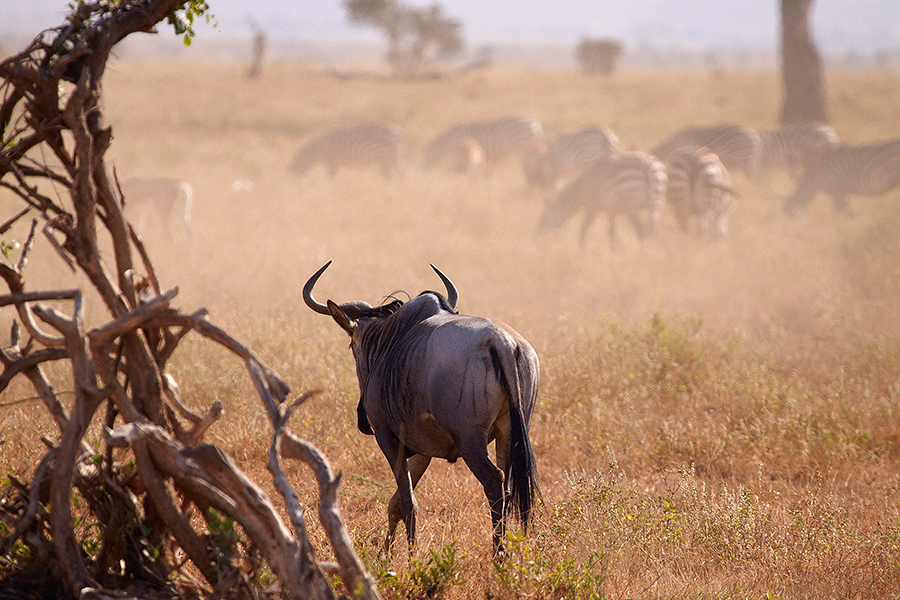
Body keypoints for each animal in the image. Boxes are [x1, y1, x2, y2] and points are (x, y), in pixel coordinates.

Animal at [536, 151, 668, 247]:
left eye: (544, 219)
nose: (537, 241)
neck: (581, 189)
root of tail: (648, 165)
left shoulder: (592, 204)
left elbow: (584, 227)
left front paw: (581, 248)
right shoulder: (612, 209)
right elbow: (611, 232)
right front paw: (613, 251)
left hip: (630, 204)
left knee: (641, 229)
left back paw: (642, 250)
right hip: (656, 202)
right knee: (653, 228)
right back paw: (651, 249)